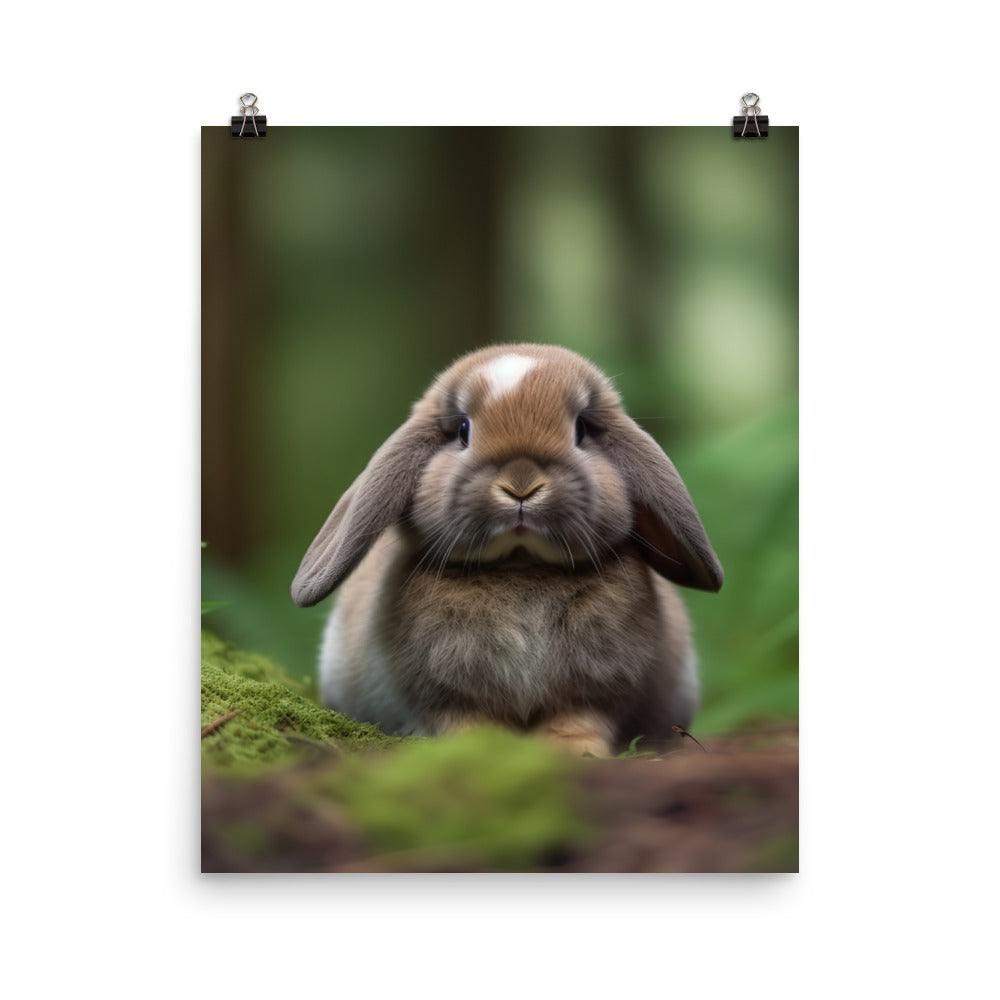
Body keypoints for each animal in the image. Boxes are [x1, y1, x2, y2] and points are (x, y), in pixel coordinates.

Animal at [291, 344, 723, 756]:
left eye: (582, 429)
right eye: (463, 430)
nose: (521, 483)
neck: (521, 567)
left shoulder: (599, 686)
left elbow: (578, 719)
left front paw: (576, 750)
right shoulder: (442, 694)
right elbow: (465, 721)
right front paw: (479, 749)